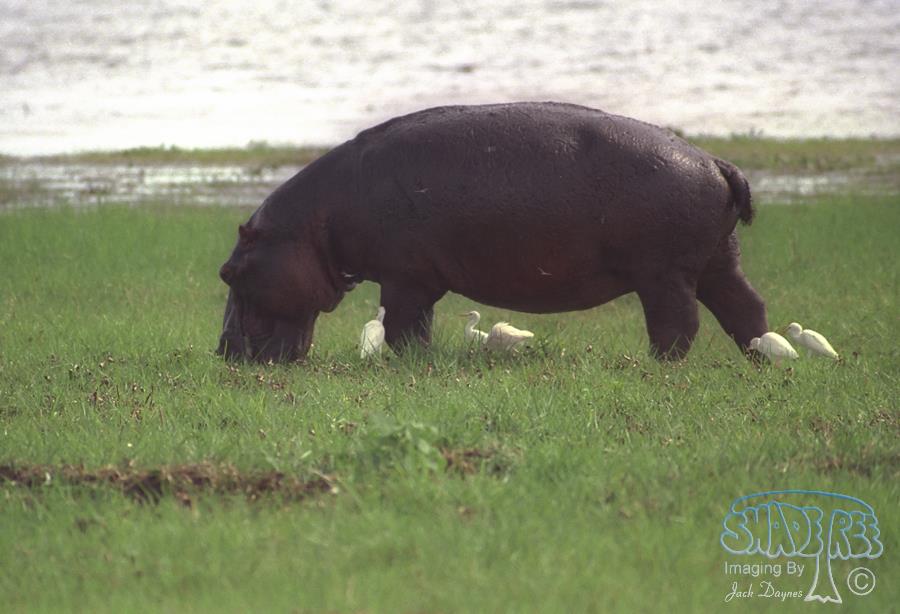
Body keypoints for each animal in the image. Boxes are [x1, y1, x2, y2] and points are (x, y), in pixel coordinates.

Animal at [217, 102, 767, 362]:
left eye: (228, 272)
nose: (222, 353)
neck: (313, 223)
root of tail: (715, 162)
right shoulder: (414, 279)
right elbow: (410, 325)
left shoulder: (406, 277)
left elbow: (404, 327)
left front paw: (419, 362)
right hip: (718, 261)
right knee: (745, 308)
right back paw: (762, 359)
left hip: (665, 274)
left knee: (678, 324)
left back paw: (654, 364)